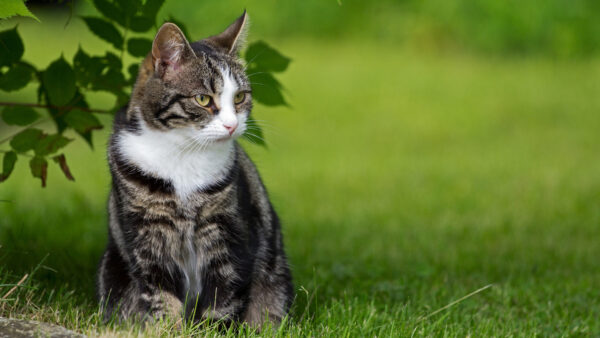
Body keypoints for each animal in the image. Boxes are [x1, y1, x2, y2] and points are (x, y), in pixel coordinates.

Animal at [96, 11, 292, 328]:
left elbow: (223, 296)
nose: (232, 125)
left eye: (240, 98)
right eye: (203, 99)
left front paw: (213, 329)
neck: (183, 154)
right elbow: (160, 294)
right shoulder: (147, 234)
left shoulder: (228, 231)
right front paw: (167, 329)